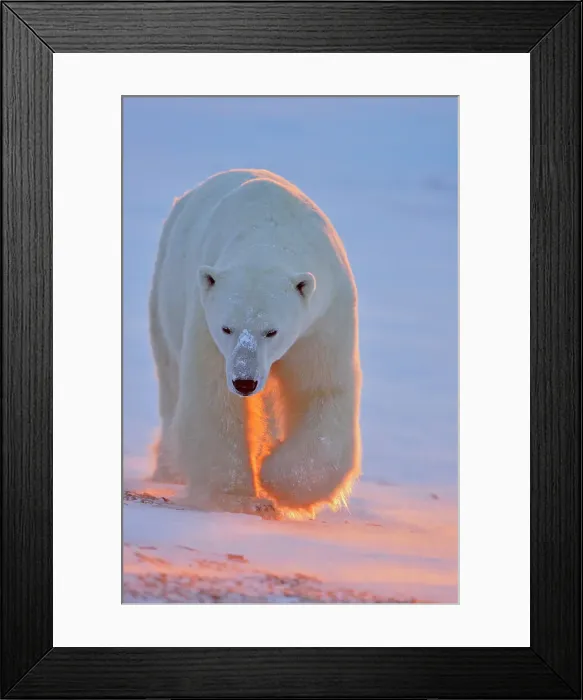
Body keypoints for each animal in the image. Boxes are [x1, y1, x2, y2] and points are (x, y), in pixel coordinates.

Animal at [149, 169, 361, 517]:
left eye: (271, 331)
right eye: (227, 328)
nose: (245, 382)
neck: (265, 237)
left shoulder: (323, 320)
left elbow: (321, 390)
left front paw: (278, 478)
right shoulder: (206, 323)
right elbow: (214, 399)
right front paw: (236, 495)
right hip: (165, 291)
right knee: (170, 379)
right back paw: (170, 469)